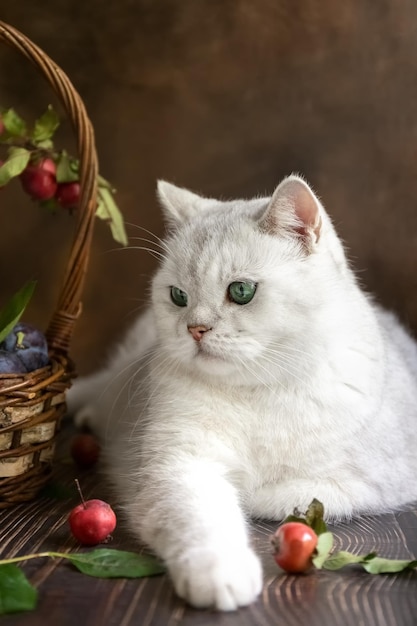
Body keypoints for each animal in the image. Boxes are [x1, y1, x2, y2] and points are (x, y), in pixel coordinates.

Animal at [69, 174, 417, 608]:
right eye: (178, 297)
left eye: (241, 292)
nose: (195, 329)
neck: (256, 390)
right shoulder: (178, 465)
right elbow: (202, 515)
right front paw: (219, 575)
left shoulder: (359, 484)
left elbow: (269, 497)